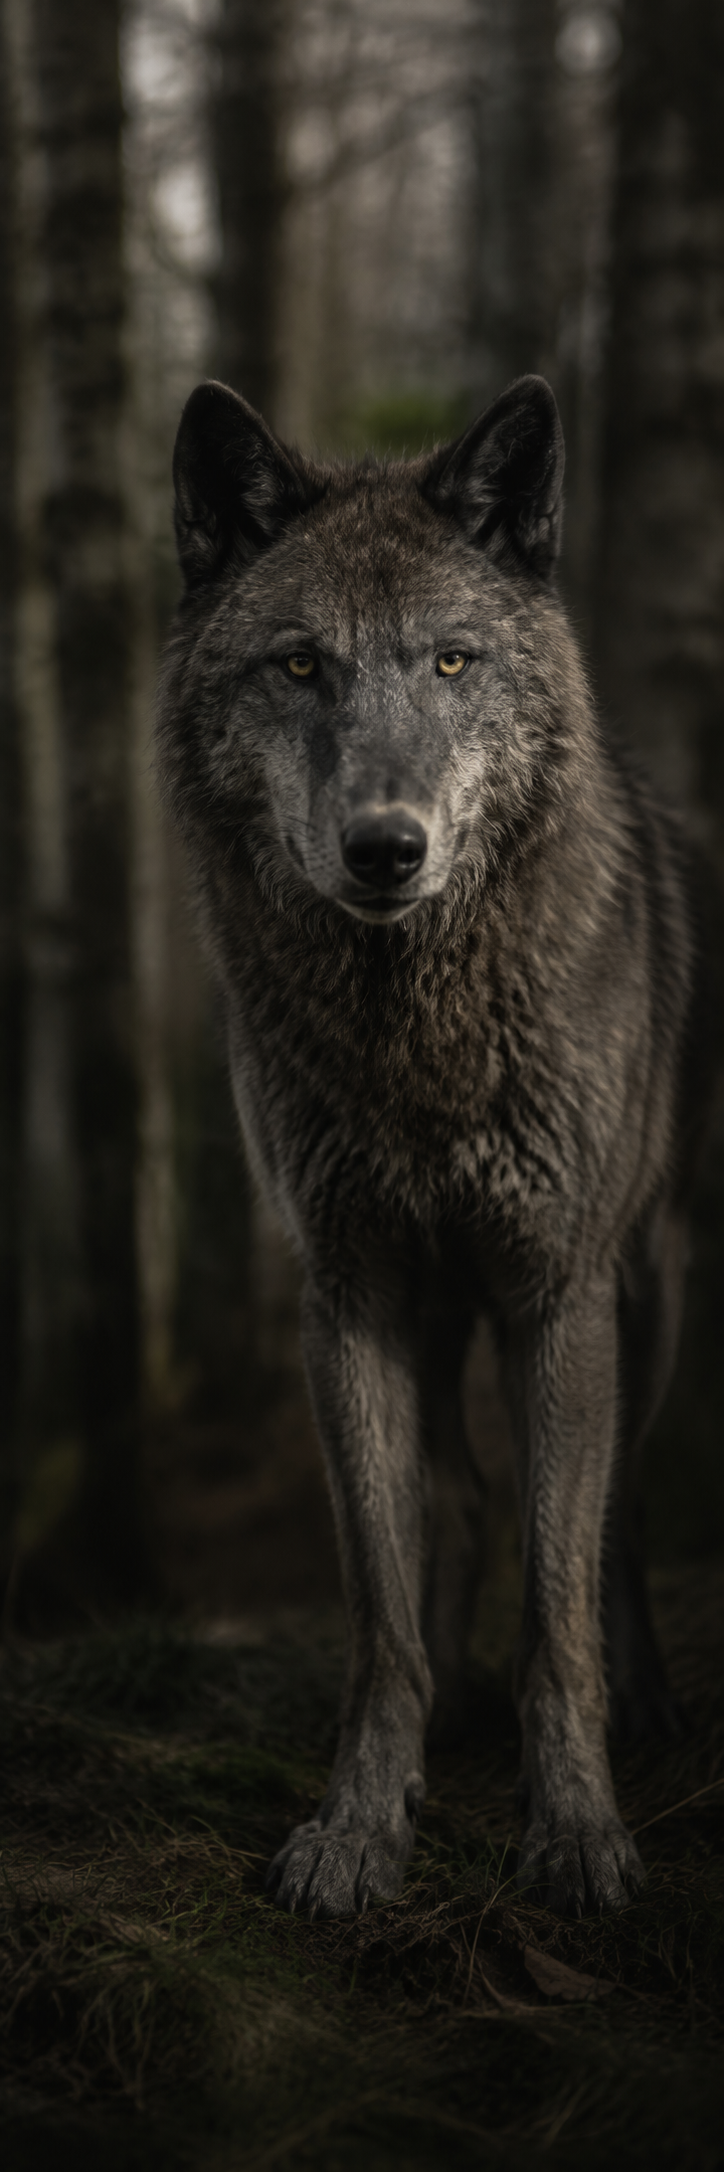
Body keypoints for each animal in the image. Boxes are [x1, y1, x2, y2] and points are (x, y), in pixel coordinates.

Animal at [157, 371, 705, 1921]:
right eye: (298, 668)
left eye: (453, 662)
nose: (384, 848)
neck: (416, 1044)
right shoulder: (349, 1298)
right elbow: (380, 1607)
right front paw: (363, 1822)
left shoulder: (556, 1291)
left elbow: (557, 1597)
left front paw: (573, 1830)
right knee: (456, 1497)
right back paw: (455, 1711)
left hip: (647, 1301)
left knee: (616, 1519)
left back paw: (644, 1703)